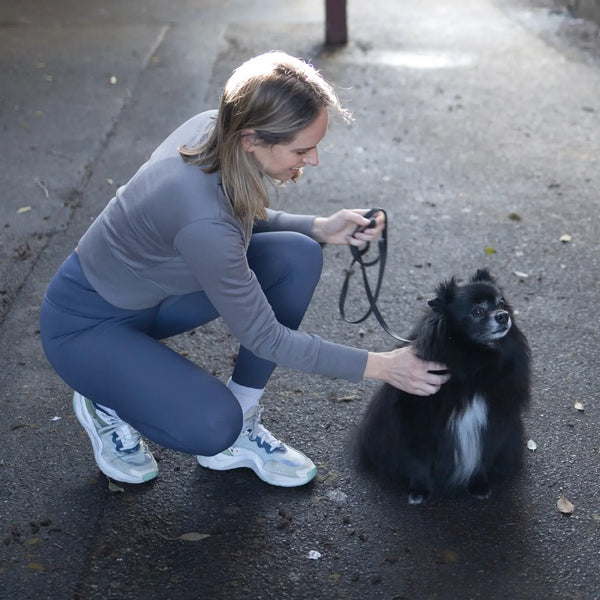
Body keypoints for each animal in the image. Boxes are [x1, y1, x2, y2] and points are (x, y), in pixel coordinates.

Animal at [356, 270, 528, 504]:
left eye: (501, 302)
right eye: (477, 311)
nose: (503, 315)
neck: (474, 366)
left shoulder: (493, 417)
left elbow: (483, 455)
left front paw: (479, 484)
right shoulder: (417, 419)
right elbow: (419, 460)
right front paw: (419, 489)